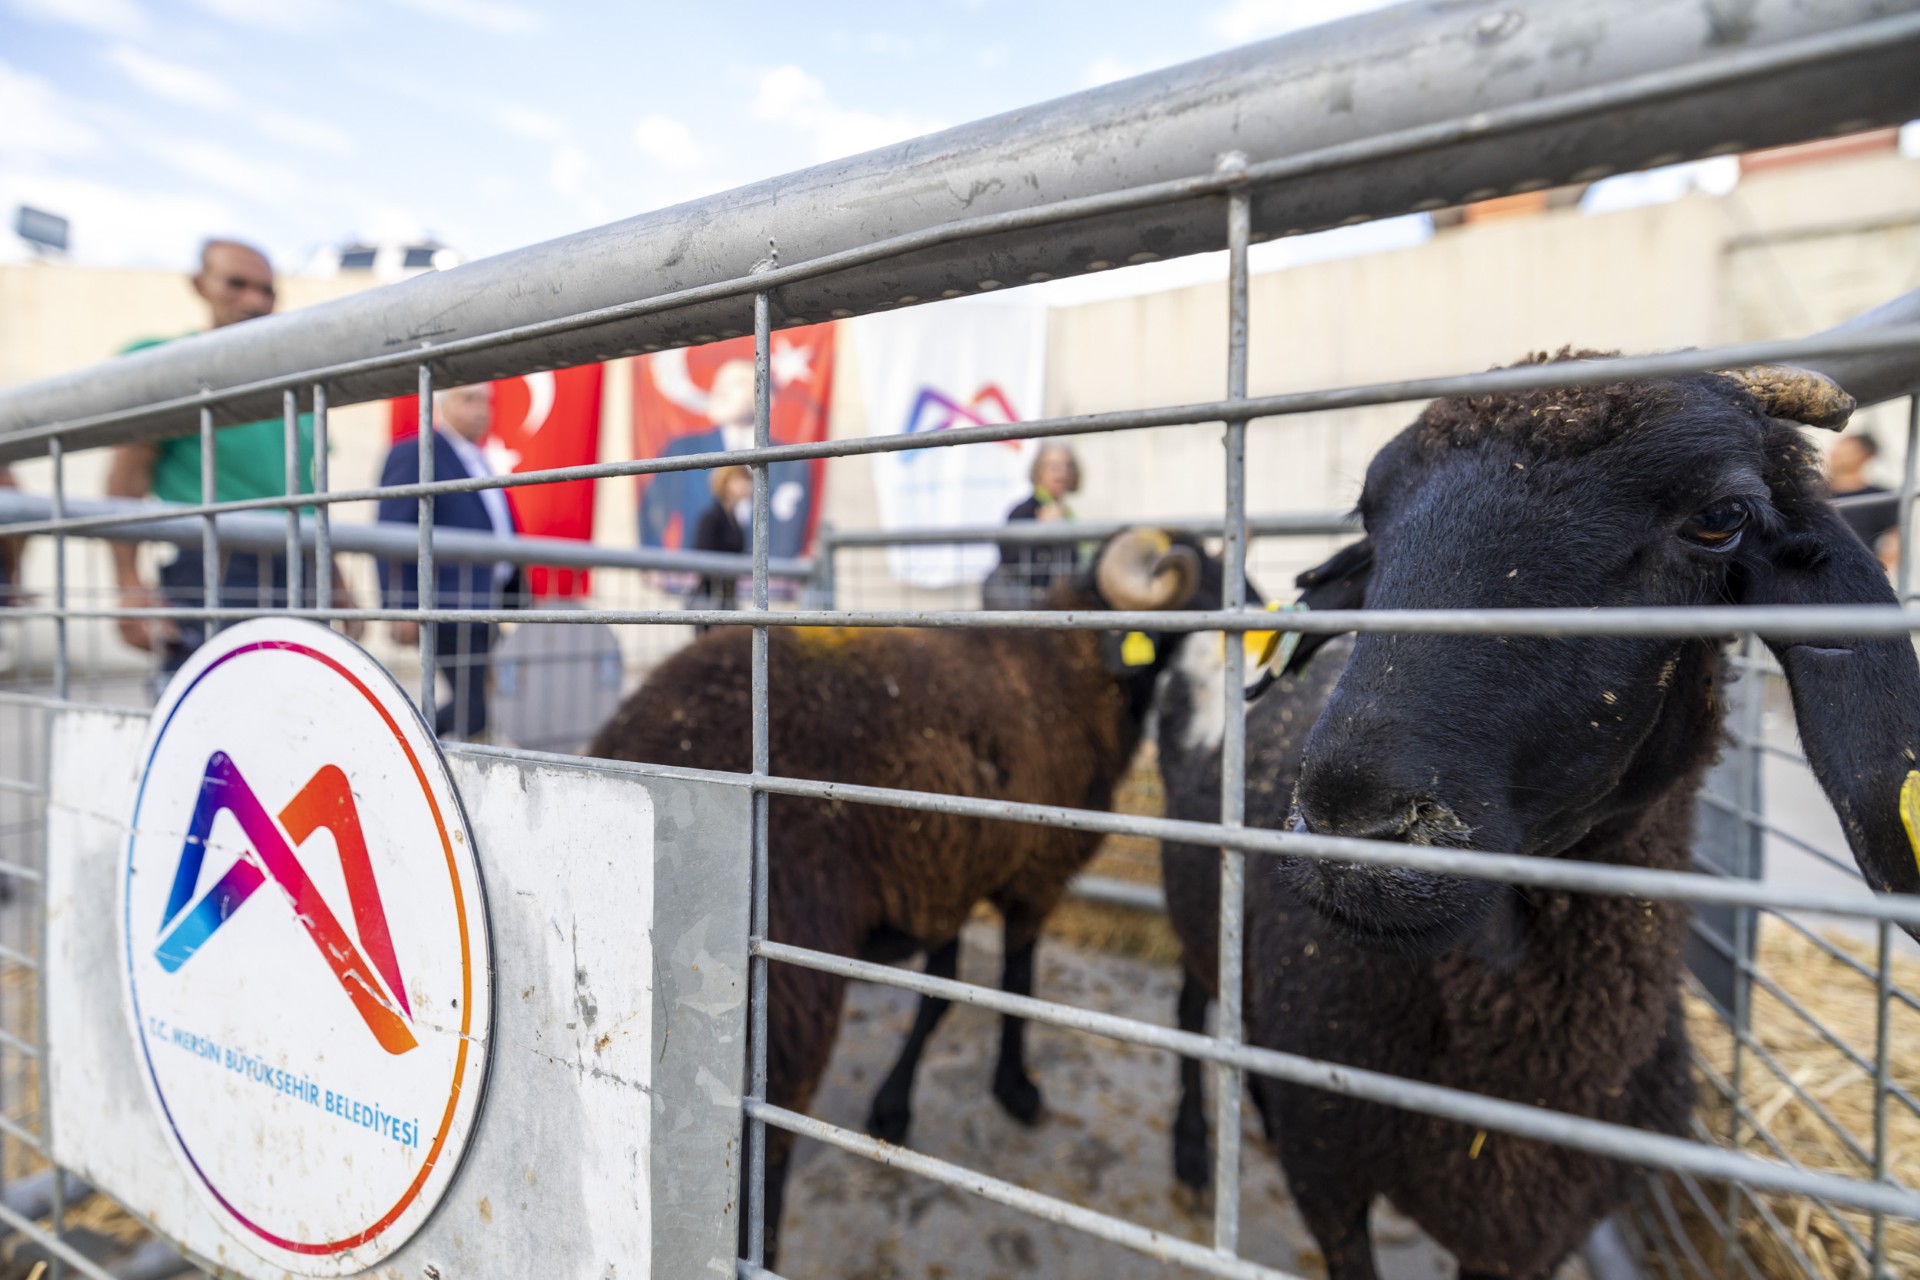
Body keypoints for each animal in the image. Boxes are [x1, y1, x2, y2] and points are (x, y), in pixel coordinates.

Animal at [1152, 358, 1920, 1280]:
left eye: (1722, 520)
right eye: (1371, 517)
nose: (1352, 827)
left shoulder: (1526, 1235)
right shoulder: (1328, 1179)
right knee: (1193, 1000)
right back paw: (1193, 1151)